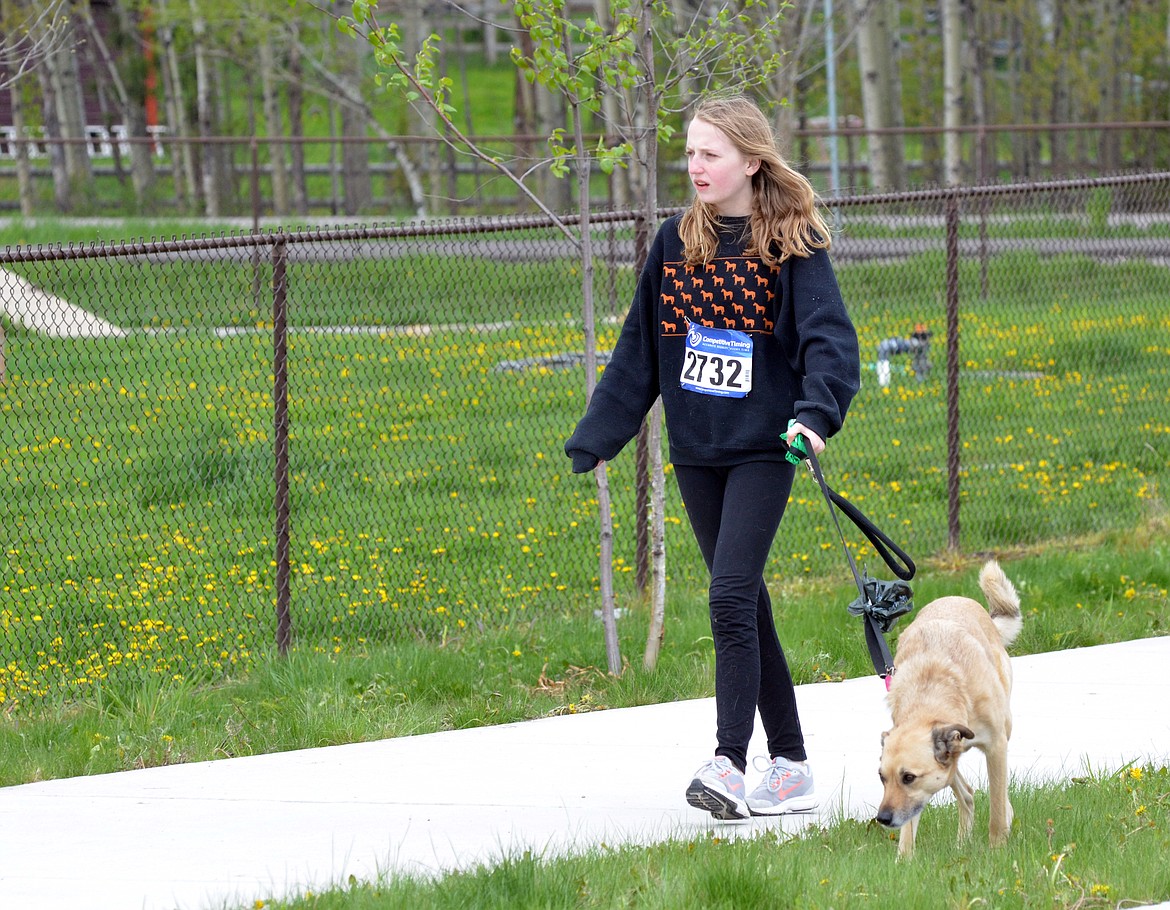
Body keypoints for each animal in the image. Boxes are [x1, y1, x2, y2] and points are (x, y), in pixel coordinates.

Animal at [875, 556, 1020, 856]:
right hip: (951, 764)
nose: (882, 818)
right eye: (882, 777)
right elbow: (909, 827)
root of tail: (956, 598)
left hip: (1004, 727)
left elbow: (997, 808)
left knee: (996, 795)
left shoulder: (996, 746)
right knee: (967, 795)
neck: (932, 694)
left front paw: (997, 849)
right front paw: (904, 860)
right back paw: (961, 844)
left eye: (908, 777)